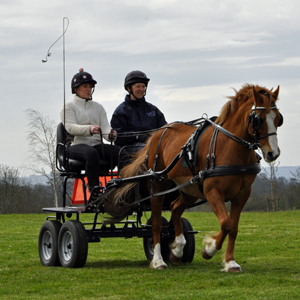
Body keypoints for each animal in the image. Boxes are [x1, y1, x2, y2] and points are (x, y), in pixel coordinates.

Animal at [99, 84, 284, 272]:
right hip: (157, 185)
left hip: (189, 188)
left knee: (175, 208)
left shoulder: (242, 195)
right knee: (157, 223)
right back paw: (158, 260)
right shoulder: (212, 192)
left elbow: (233, 227)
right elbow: (226, 224)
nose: (272, 153)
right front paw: (209, 250)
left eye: (278, 119)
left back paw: (177, 250)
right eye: (258, 120)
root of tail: (157, 134)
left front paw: (230, 262)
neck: (229, 147)